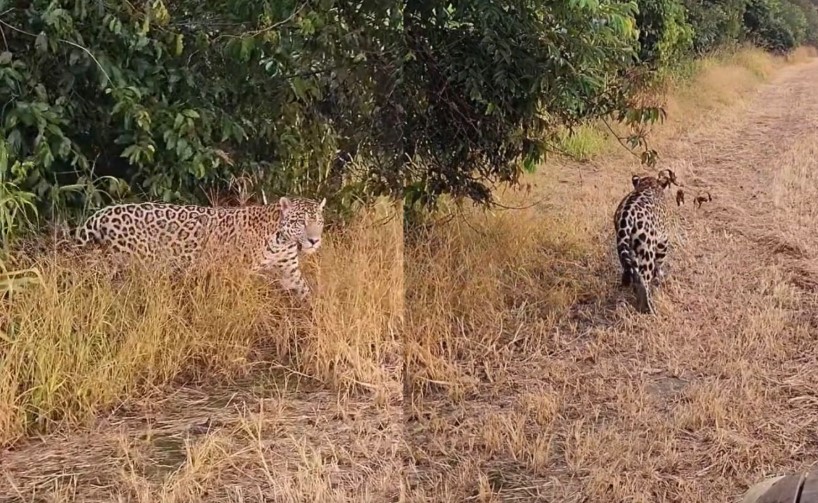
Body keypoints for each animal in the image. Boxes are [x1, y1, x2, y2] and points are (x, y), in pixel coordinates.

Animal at [74, 196, 326, 302]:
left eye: (319, 222)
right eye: (300, 222)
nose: (314, 241)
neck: (282, 240)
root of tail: (101, 214)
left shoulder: (289, 271)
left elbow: (305, 290)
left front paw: (315, 311)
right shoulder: (237, 271)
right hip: (135, 265)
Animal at [613, 169, 680, 314]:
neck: (648, 183)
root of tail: (626, 217)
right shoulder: (663, 241)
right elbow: (659, 263)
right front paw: (659, 278)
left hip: (627, 247)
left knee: (634, 273)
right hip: (647, 250)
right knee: (643, 281)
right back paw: (649, 309)